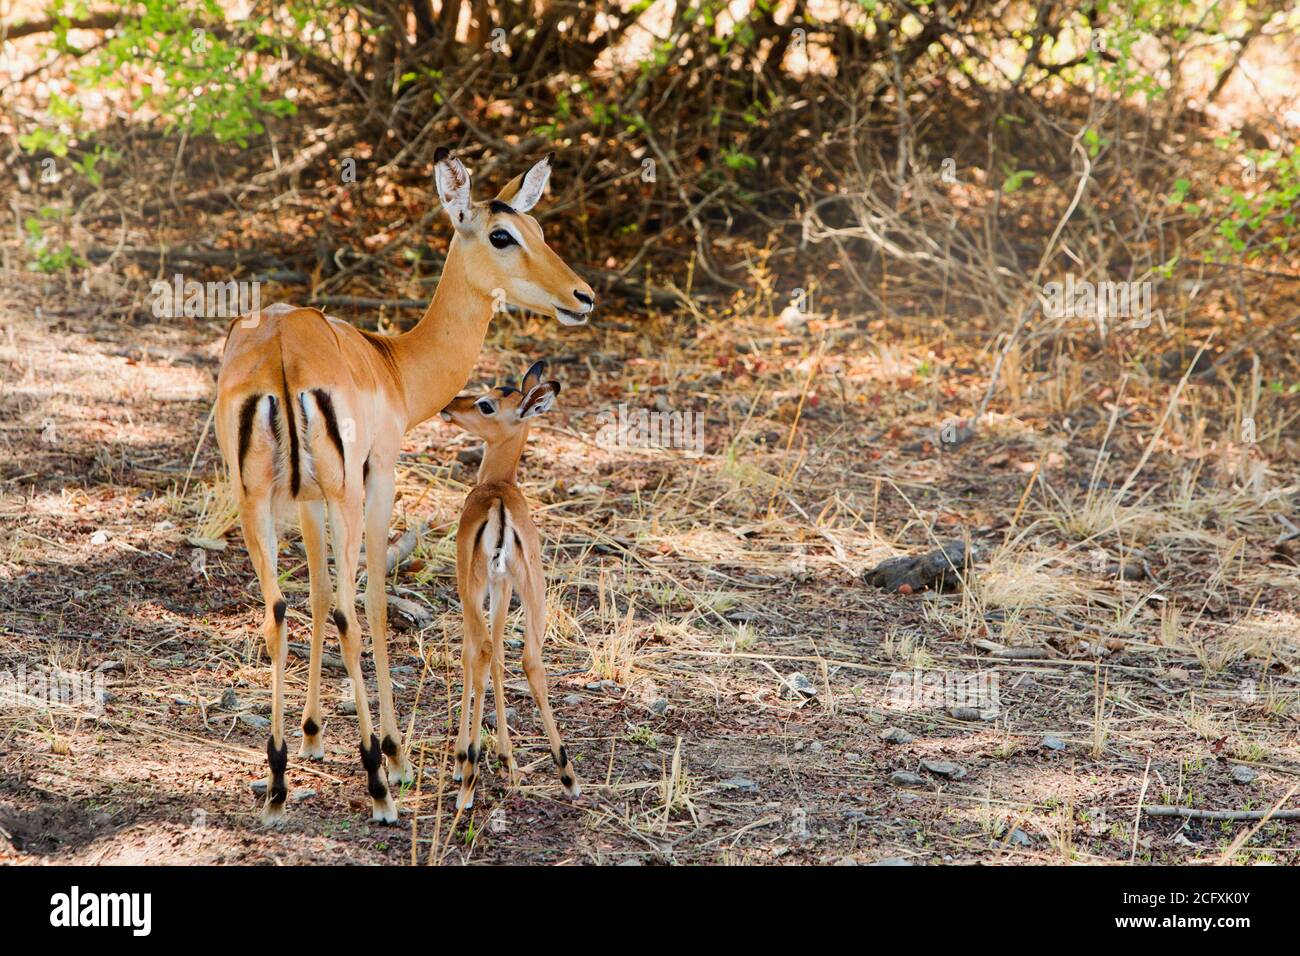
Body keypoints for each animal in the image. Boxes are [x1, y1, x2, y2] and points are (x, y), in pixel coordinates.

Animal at [439, 361, 577, 811]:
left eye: (485, 404)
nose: (449, 406)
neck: (497, 483)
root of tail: (499, 507)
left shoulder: (476, 589)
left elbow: (473, 656)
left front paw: (466, 757)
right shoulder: (504, 588)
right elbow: (501, 656)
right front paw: (508, 758)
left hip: (476, 586)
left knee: (480, 651)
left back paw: (467, 779)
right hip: (533, 589)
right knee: (531, 661)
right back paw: (567, 775)